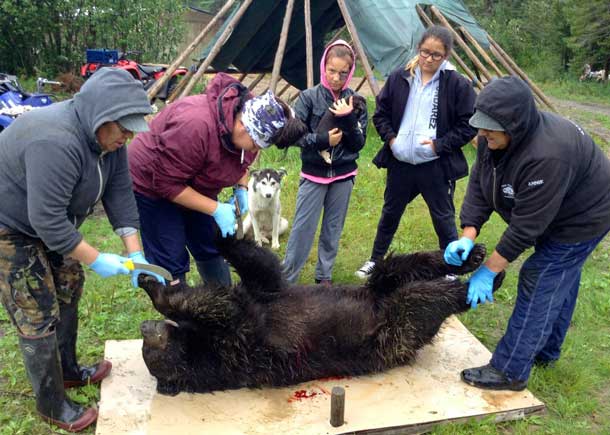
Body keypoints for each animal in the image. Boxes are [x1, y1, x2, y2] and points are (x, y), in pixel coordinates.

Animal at [140, 240, 502, 396]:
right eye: (147, 350)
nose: (145, 327)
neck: (195, 345)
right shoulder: (232, 348)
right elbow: (219, 303)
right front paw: (159, 293)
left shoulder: (258, 299)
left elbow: (262, 274)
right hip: (395, 330)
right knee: (421, 299)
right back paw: (478, 284)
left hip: (380, 286)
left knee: (400, 266)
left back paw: (468, 257)